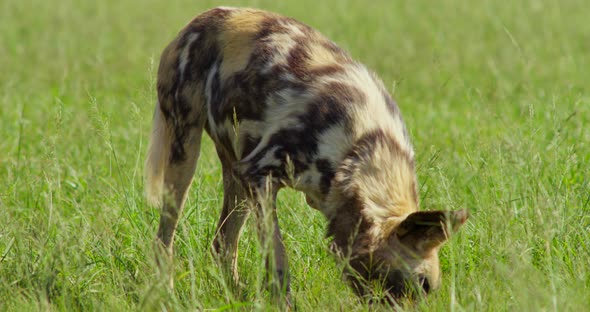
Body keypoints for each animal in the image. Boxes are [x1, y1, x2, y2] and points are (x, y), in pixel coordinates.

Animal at [146, 7, 470, 304]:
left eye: (429, 290)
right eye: (421, 283)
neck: (360, 149)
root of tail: (200, 18)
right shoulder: (259, 176)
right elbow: (278, 261)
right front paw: (283, 303)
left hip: (235, 174)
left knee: (222, 244)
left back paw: (236, 296)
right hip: (185, 155)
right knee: (164, 240)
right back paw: (166, 293)